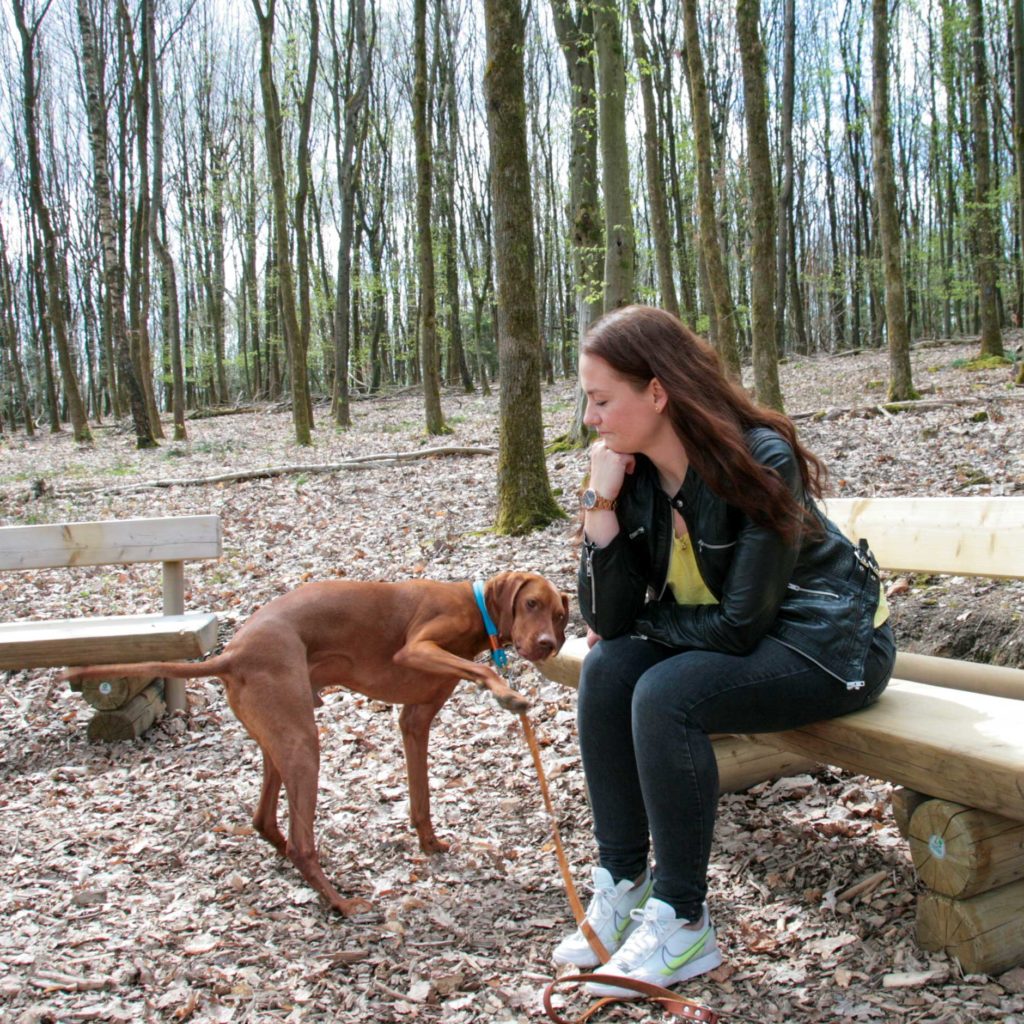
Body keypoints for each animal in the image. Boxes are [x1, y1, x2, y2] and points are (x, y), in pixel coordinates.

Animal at [62, 573, 573, 917]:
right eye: (530, 603)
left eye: (560, 615)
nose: (549, 644)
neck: (475, 604)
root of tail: (233, 652)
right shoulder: (417, 647)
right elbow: (483, 669)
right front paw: (507, 694)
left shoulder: (415, 721)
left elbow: (421, 798)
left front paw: (429, 843)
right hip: (303, 743)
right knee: (302, 844)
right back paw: (340, 903)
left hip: (281, 740)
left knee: (267, 821)